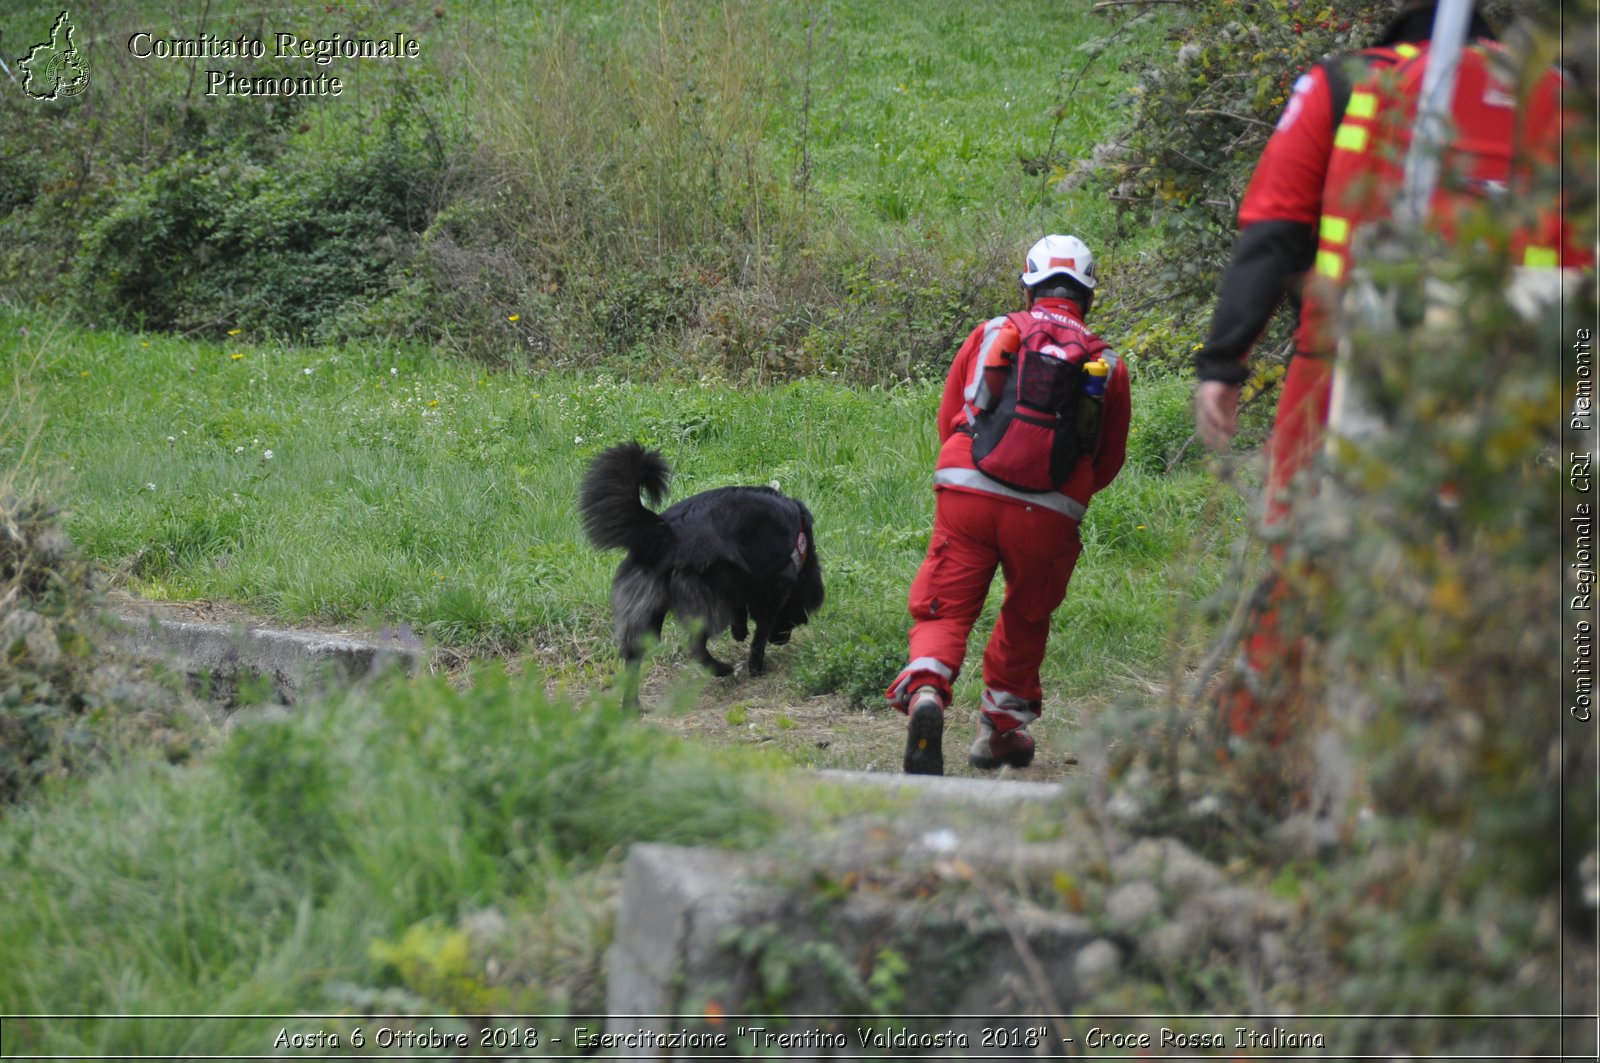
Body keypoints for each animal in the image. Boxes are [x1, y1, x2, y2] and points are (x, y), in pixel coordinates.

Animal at [579, 438, 825, 697]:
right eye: (796, 617)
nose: (781, 641)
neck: (804, 551)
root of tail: (667, 531)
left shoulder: (742, 579)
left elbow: (742, 609)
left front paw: (740, 632)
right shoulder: (777, 584)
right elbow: (761, 631)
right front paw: (756, 664)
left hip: (645, 610)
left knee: (633, 662)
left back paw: (632, 705)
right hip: (707, 602)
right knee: (695, 646)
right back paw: (720, 669)